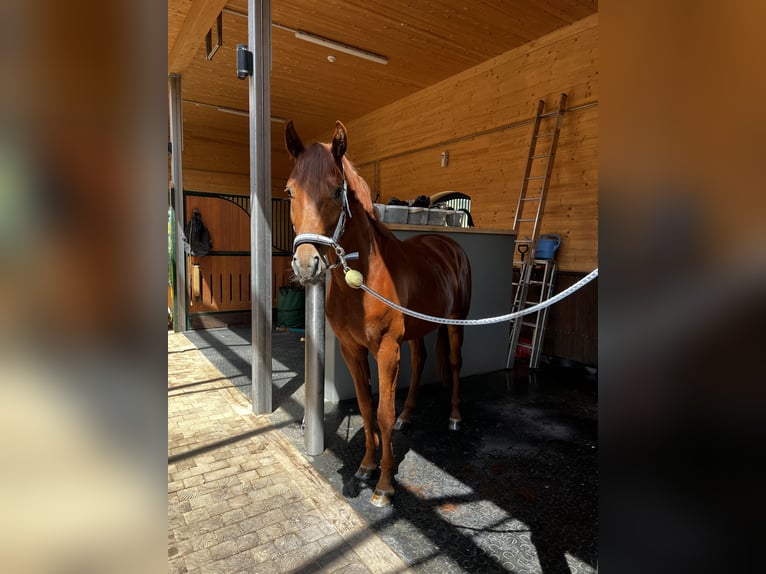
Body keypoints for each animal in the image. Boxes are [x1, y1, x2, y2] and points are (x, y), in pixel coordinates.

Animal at [284, 121, 472, 508]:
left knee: (455, 364)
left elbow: (383, 413)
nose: (307, 264)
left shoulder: (386, 351)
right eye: (290, 191)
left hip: (456, 323)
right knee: (420, 360)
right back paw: (408, 416)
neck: (364, 280)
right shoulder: (351, 350)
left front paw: (384, 485)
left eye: (336, 190)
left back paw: (454, 418)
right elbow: (366, 407)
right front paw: (366, 467)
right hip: (418, 329)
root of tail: (449, 246)